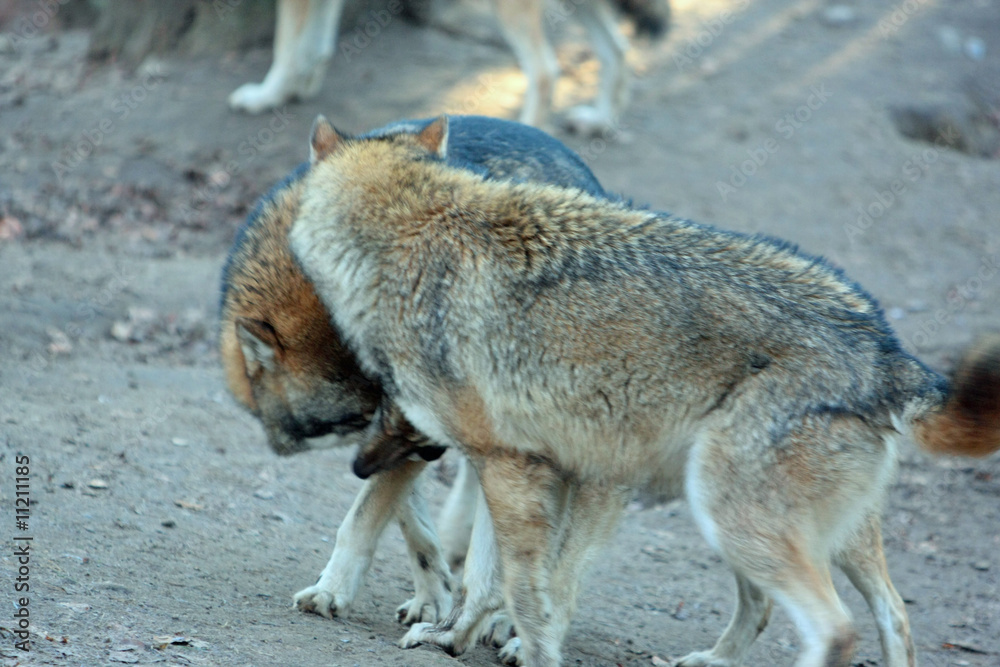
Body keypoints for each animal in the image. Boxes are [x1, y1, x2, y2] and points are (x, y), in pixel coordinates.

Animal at [219, 114, 610, 628]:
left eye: (392, 398)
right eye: (368, 412)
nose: (437, 445)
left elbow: (362, 519)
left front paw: (331, 591)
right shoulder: (388, 443)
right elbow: (409, 521)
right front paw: (432, 593)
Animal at [228, 0, 669, 134]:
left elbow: (286, 47)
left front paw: (267, 96)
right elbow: (318, 43)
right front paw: (303, 85)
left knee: (545, 70)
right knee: (619, 48)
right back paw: (599, 121)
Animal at [290, 116, 1000, 667]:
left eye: (384, 396)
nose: (357, 466)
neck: (414, 230)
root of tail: (887, 350)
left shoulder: (511, 469)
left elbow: (524, 591)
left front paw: (527, 650)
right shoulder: (516, 466)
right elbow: (488, 582)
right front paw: (452, 637)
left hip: (735, 517)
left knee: (835, 629)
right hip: (782, 529)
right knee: (885, 614)